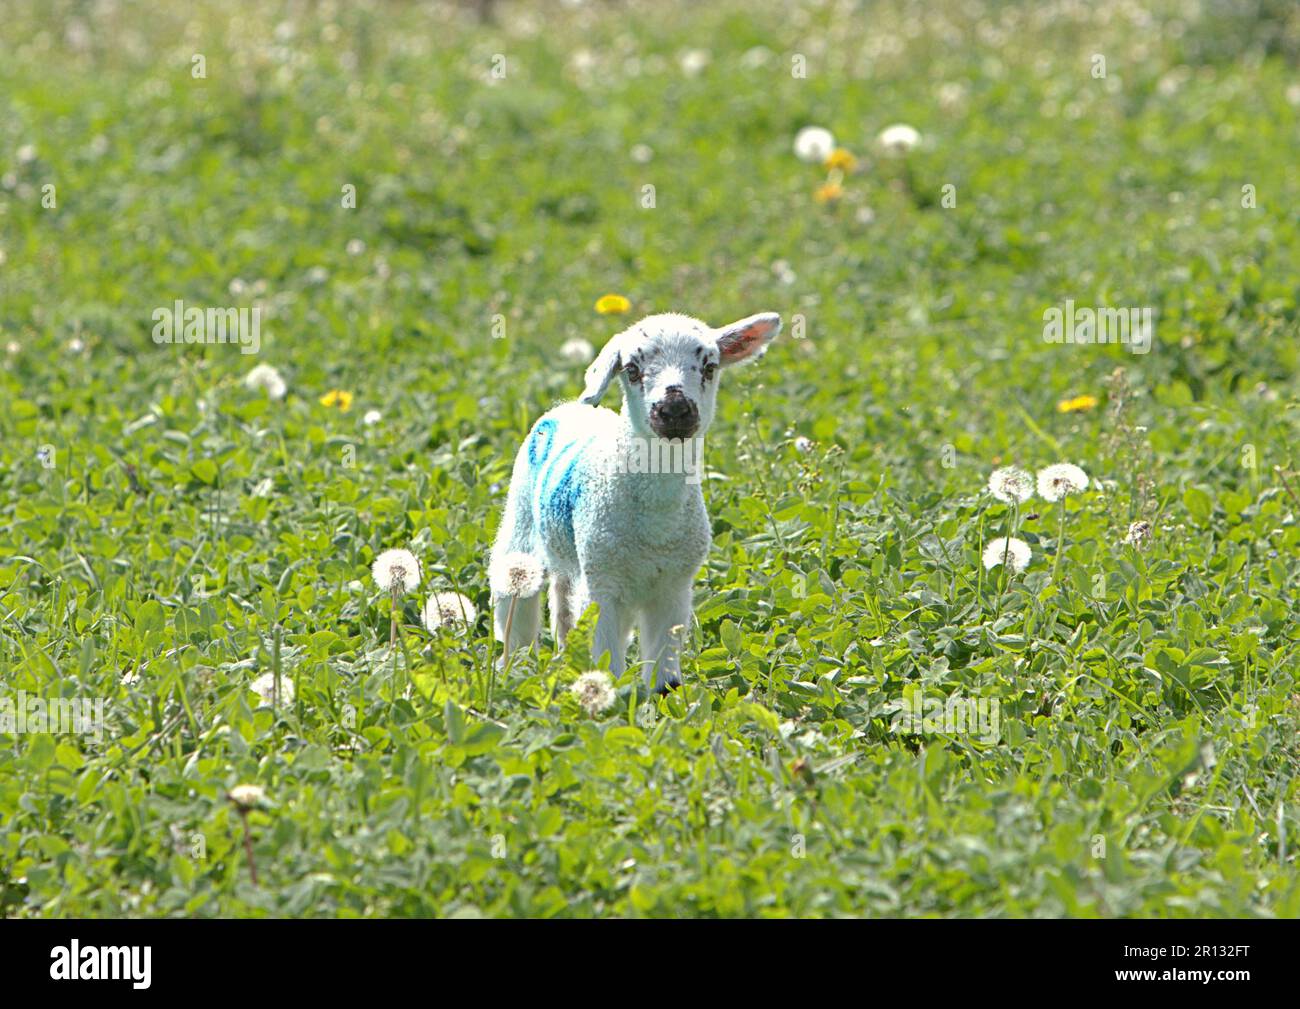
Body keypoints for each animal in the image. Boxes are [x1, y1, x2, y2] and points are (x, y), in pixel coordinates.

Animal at [486, 313, 769, 691]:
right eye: (632, 370)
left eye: (710, 367)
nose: (674, 410)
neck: (655, 525)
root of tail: (566, 408)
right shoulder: (602, 586)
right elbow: (606, 667)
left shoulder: (674, 587)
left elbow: (664, 677)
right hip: (521, 520)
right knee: (515, 599)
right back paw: (511, 672)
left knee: (563, 603)